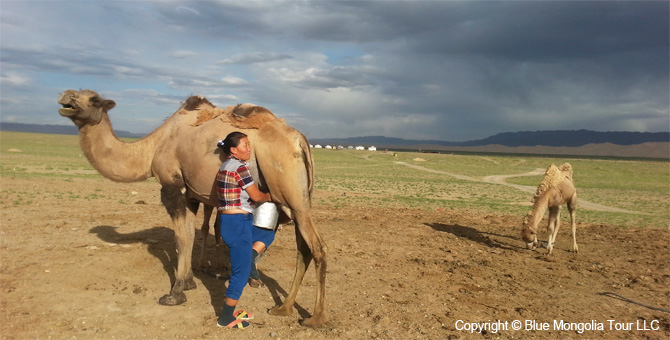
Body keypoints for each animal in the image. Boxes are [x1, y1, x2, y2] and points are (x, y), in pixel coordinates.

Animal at [58, 89, 328, 326]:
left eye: (94, 99)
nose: (65, 97)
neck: (153, 147)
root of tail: (300, 141)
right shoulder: (190, 193)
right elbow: (188, 234)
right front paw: (188, 281)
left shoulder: (171, 185)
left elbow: (182, 237)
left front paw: (175, 293)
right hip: (297, 198)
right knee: (303, 248)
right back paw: (283, 307)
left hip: (288, 190)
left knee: (318, 247)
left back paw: (315, 318)